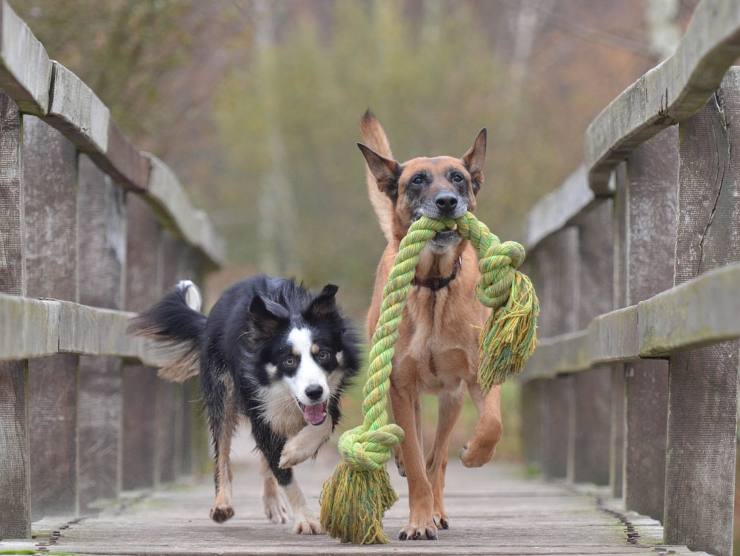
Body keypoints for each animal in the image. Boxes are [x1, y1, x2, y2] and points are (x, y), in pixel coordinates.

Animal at [130, 278, 362, 536]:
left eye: (323, 354)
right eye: (289, 361)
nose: (314, 392)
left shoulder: (331, 395)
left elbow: (323, 422)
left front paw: (295, 450)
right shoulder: (258, 405)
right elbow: (283, 473)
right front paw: (305, 518)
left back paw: (272, 500)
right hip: (222, 390)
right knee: (222, 451)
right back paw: (222, 504)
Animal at [358, 111, 502, 540]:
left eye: (458, 178)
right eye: (418, 180)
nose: (447, 202)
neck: (435, 286)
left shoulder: (478, 377)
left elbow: (491, 424)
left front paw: (474, 454)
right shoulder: (401, 387)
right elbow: (415, 462)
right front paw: (418, 522)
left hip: (451, 399)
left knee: (438, 457)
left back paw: (440, 505)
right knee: (418, 452)